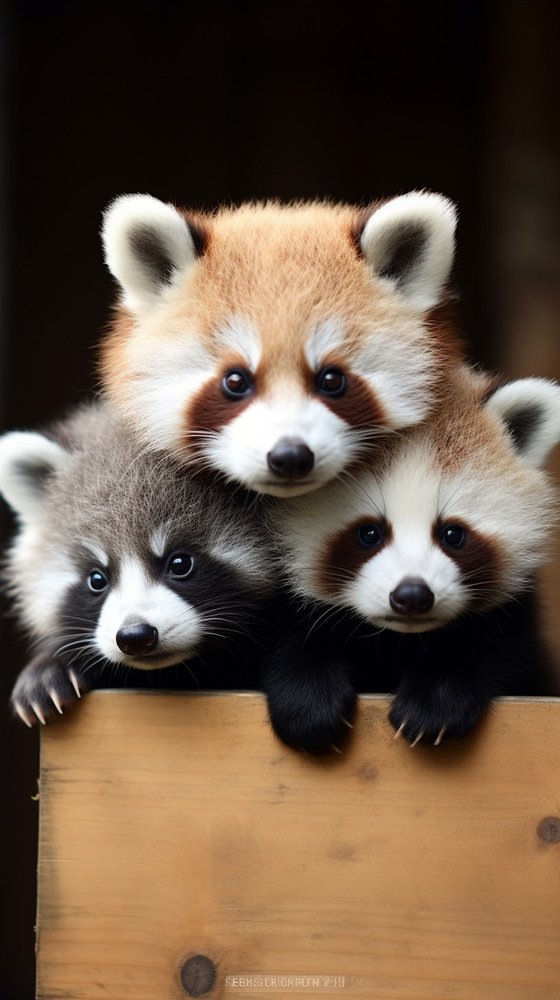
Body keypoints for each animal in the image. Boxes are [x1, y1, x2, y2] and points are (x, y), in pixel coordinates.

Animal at [263, 368, 560, 752]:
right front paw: (307, 703)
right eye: (369, 533)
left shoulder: (515, 621)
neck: (398, 639)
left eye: (452, 534)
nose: (412, 595)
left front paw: (434, 707)